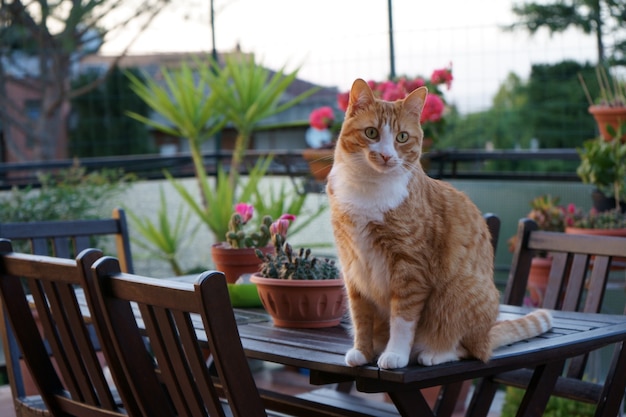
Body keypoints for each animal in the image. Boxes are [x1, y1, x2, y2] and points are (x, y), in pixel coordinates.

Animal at [324, 79, 548, 368]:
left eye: (402, 137)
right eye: (371, 133)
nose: (386, 156)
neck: (368, 189)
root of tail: (487, 334)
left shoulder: (410, 269)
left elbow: (403, 319)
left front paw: (395, 354)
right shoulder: (353, 268)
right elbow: (360, 317)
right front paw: (362, 351)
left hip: (459, 297)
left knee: (470, 349)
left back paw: (435, 353)